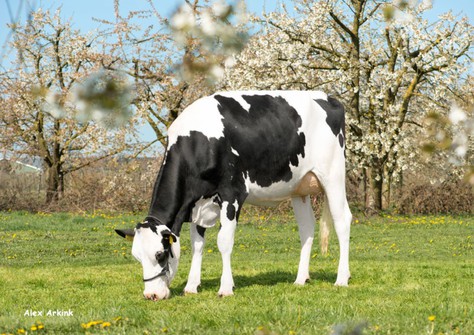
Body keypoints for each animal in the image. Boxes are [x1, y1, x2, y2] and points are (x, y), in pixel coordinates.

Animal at [115, 91, 352, 302]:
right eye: (137, 257)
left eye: (160, 254)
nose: (151, 295)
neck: (198, 141)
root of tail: (328, 97)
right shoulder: (197, 203)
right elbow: (197, 244)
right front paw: (191, 286)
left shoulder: (232, 193)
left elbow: (224, 241)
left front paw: (226, 287)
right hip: (299, 188)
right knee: (306, 228)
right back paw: (301, 279)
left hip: (333, 175)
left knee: (342, 220)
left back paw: (342, 278)